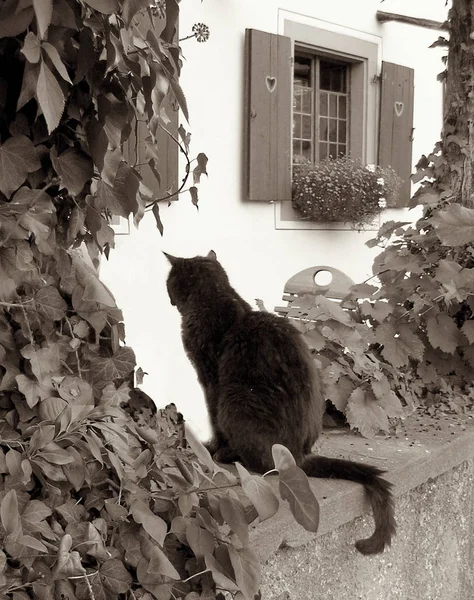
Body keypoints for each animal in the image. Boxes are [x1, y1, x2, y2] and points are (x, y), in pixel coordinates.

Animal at [165, 248, 394, 552]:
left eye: (169, 282)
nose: (168, 297)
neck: (216, 299)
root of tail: (299, 456)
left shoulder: (210, 380)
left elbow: (213, 421)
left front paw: (212, 448)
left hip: (235, 401)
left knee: (261, 464)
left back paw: (228, 454)